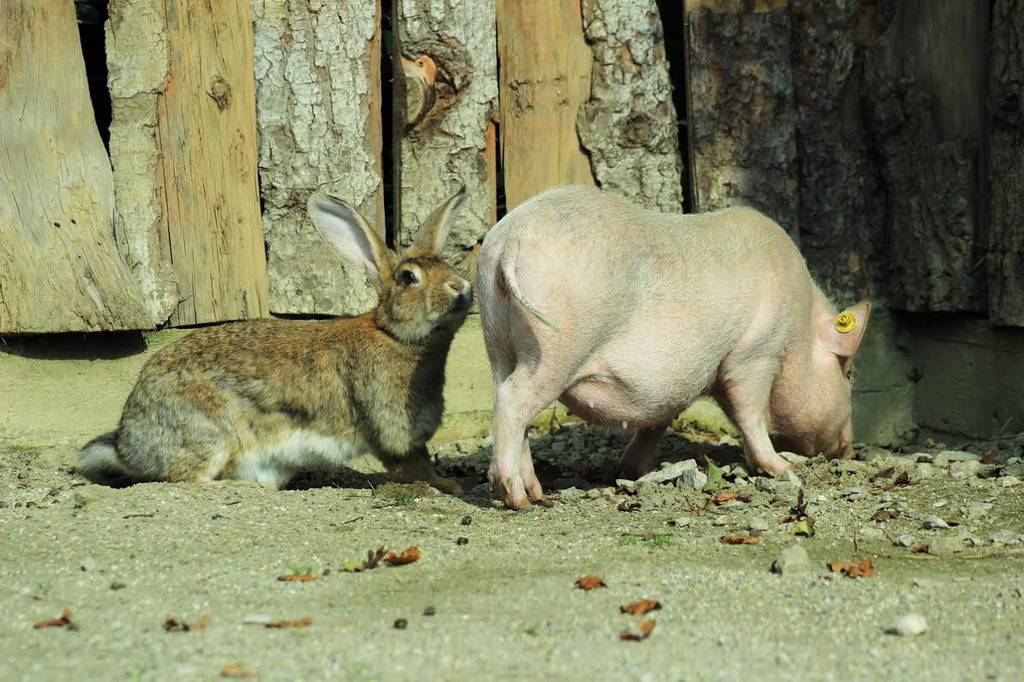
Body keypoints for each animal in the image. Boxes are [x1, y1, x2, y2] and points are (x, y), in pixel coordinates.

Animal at [77, 186, 473, 493]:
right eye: (409, 278)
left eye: (449, 267)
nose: (462, 287)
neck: (395, 335)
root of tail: (129, 444)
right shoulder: (390, 430)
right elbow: (410, 467)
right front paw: (443, 488)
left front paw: (450, 484)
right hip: (208, 434)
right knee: (187, 479)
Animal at [475, 184, 868, 503]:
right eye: (847, 372)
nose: (850, 449)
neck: (800, 328)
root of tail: (512, 238)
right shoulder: (755, 351)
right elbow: (749, 412)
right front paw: (784, 469)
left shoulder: (676, 387)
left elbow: (658, 421)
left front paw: (638, 470)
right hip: (557, 347)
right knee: (514, 399)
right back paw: (516, 497)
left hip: (496, 340)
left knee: (507, 399)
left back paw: (537, 493)